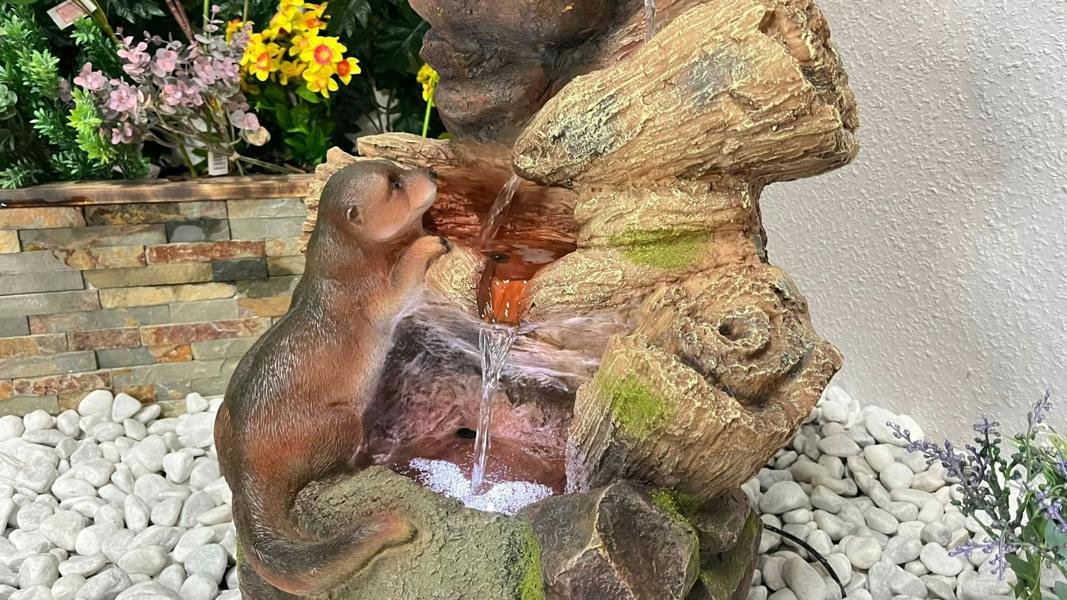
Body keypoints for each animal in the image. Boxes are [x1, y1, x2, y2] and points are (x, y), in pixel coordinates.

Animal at [214, 160, 450, 596]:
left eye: (398, 170)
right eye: (394, 183)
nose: (430, 172)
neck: (340, 264)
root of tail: (246, 477)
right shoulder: (377, 295)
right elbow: (404, 279)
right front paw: (431, 242)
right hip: (341, 421)